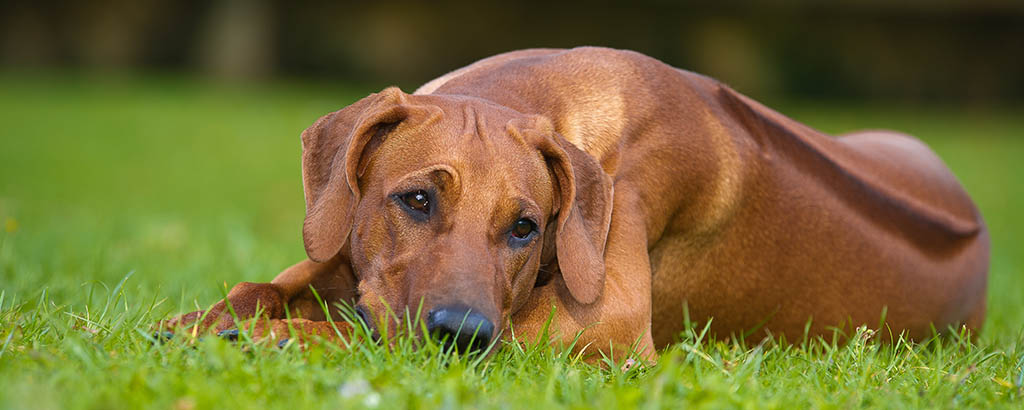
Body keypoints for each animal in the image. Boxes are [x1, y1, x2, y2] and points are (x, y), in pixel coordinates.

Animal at [163, 46, 987, 356]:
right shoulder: (347, 252)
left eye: (527, 228)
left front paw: (281, 337)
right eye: (417, 199)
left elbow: (361, 328)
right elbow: (274, 280)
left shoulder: (608, 321)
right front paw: (204, 318)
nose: (462, 335)